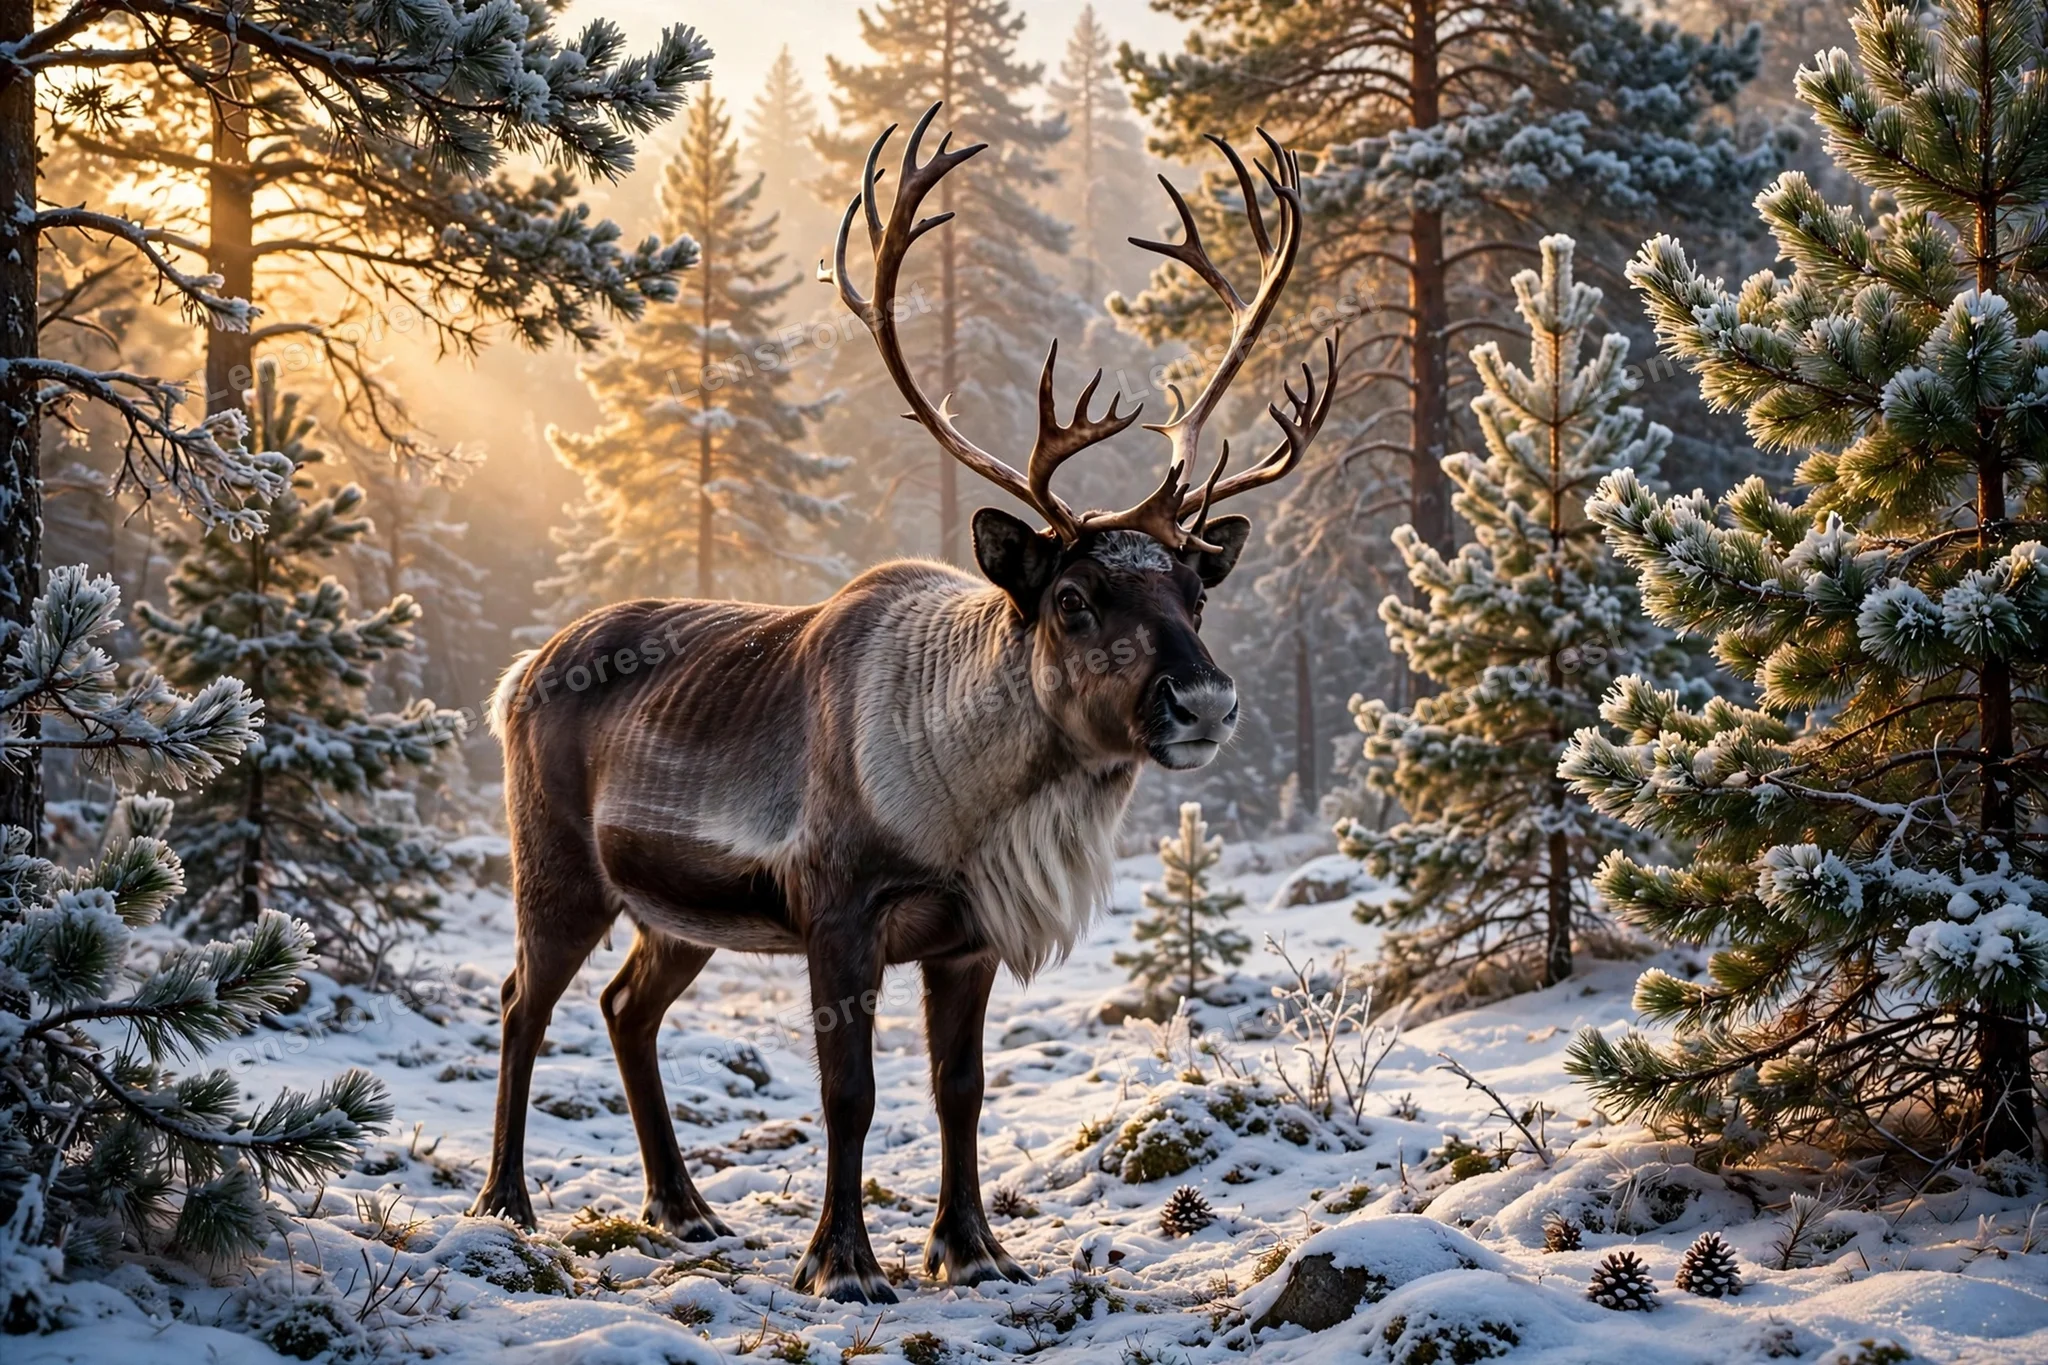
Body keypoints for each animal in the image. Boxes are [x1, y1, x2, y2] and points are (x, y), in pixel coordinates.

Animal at [470, 102, 1340, 1304]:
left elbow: (956, 1093)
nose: (1204, 702)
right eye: (1072, 597)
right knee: (523, 1002)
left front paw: (972, 1250)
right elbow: (852, 1094)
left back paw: (683, 1209)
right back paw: (506, 1203)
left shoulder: (964, 938)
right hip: (557, 865)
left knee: (623, 1008)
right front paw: (842, 1264)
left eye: (1197, 591)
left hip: (676, 910)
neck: (975, 809)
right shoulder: (837, 908)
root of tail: (519, 669)